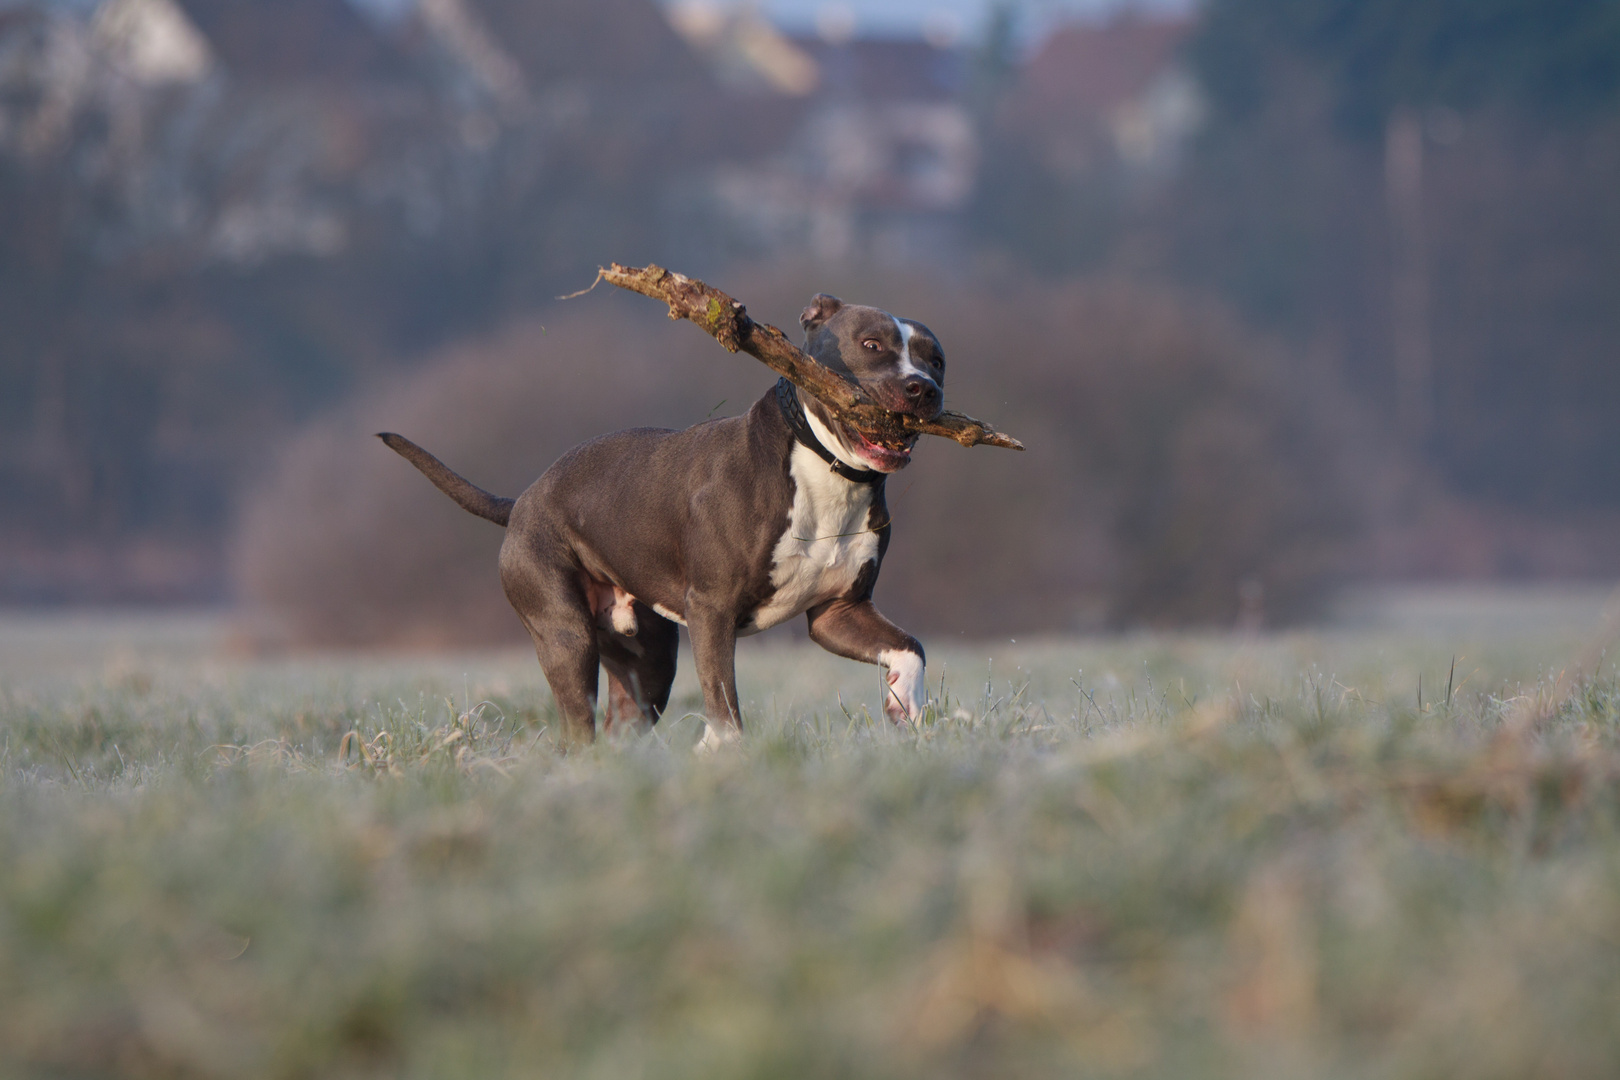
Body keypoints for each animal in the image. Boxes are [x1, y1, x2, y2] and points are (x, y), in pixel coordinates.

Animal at [377, 296, 946, 751]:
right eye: (871, 344)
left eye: (936, 359)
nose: (922, 388)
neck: (826, 469)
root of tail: (521, 502)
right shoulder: (713, 610)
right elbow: (723, 698)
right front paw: (722, 754)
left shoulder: (838, 612)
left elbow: (912, 648)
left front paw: (904, 707)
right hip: (565, 636)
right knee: (577, 725)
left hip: (647, 664)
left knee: (621, 722)